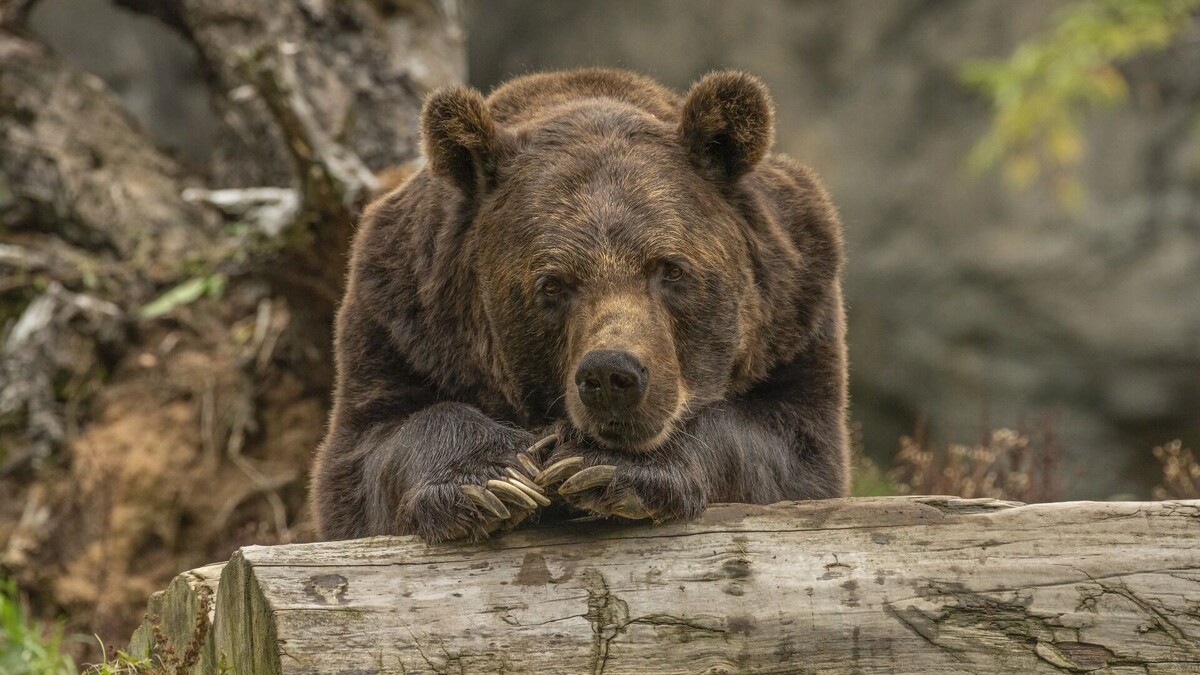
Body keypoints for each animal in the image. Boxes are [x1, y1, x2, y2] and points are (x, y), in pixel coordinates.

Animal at [311, 68, 849, 543]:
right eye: (553, 284)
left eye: (671, 269)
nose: (611, 375)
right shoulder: (400, 323)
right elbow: (370, 451)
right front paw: (493, 480)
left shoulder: (796, 315)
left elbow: (789, 450)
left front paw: (605, 466)